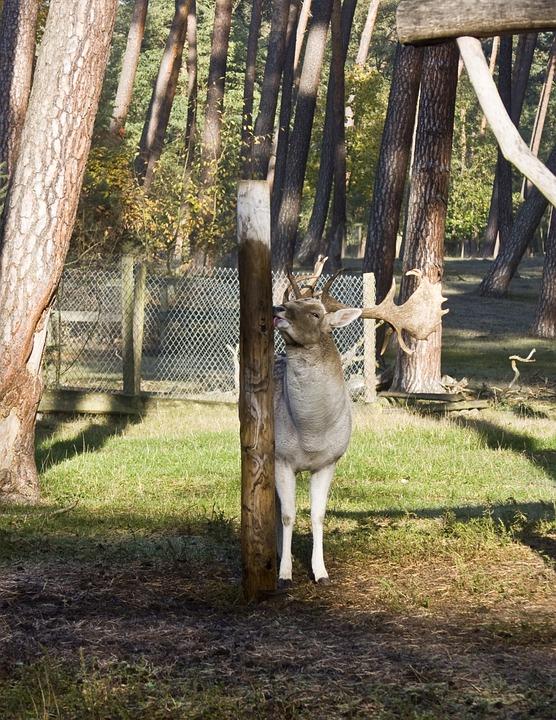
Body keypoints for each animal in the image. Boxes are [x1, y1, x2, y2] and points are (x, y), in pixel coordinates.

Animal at [272, 258, 446, 584]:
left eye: (315, 313)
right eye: (290, 302)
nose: (278, 309)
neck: (311, 433)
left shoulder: (329, 461)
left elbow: (317, 515)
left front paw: (321, 572)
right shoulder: (282, 458)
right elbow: (289, 515)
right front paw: (285, 574)